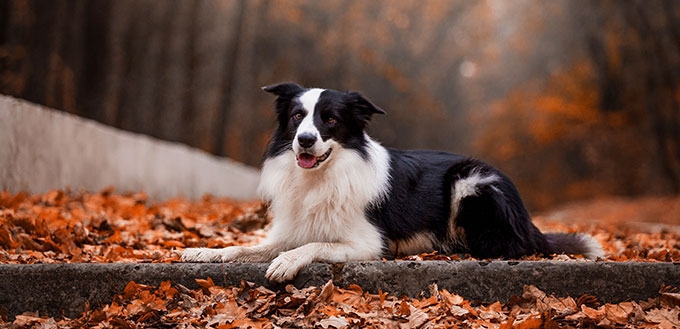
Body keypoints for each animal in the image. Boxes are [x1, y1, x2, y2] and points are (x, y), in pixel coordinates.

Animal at [182, 81, 604, 280]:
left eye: (330, 119)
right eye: (297, 117)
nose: (305, 140)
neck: (323, 175)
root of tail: (528, 219)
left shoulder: (366, 244)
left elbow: (315, 244)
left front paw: (286, 262)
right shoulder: (292, 228)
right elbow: (244, 247)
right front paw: (204, 251)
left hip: (471, 180)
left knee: (507, 245)